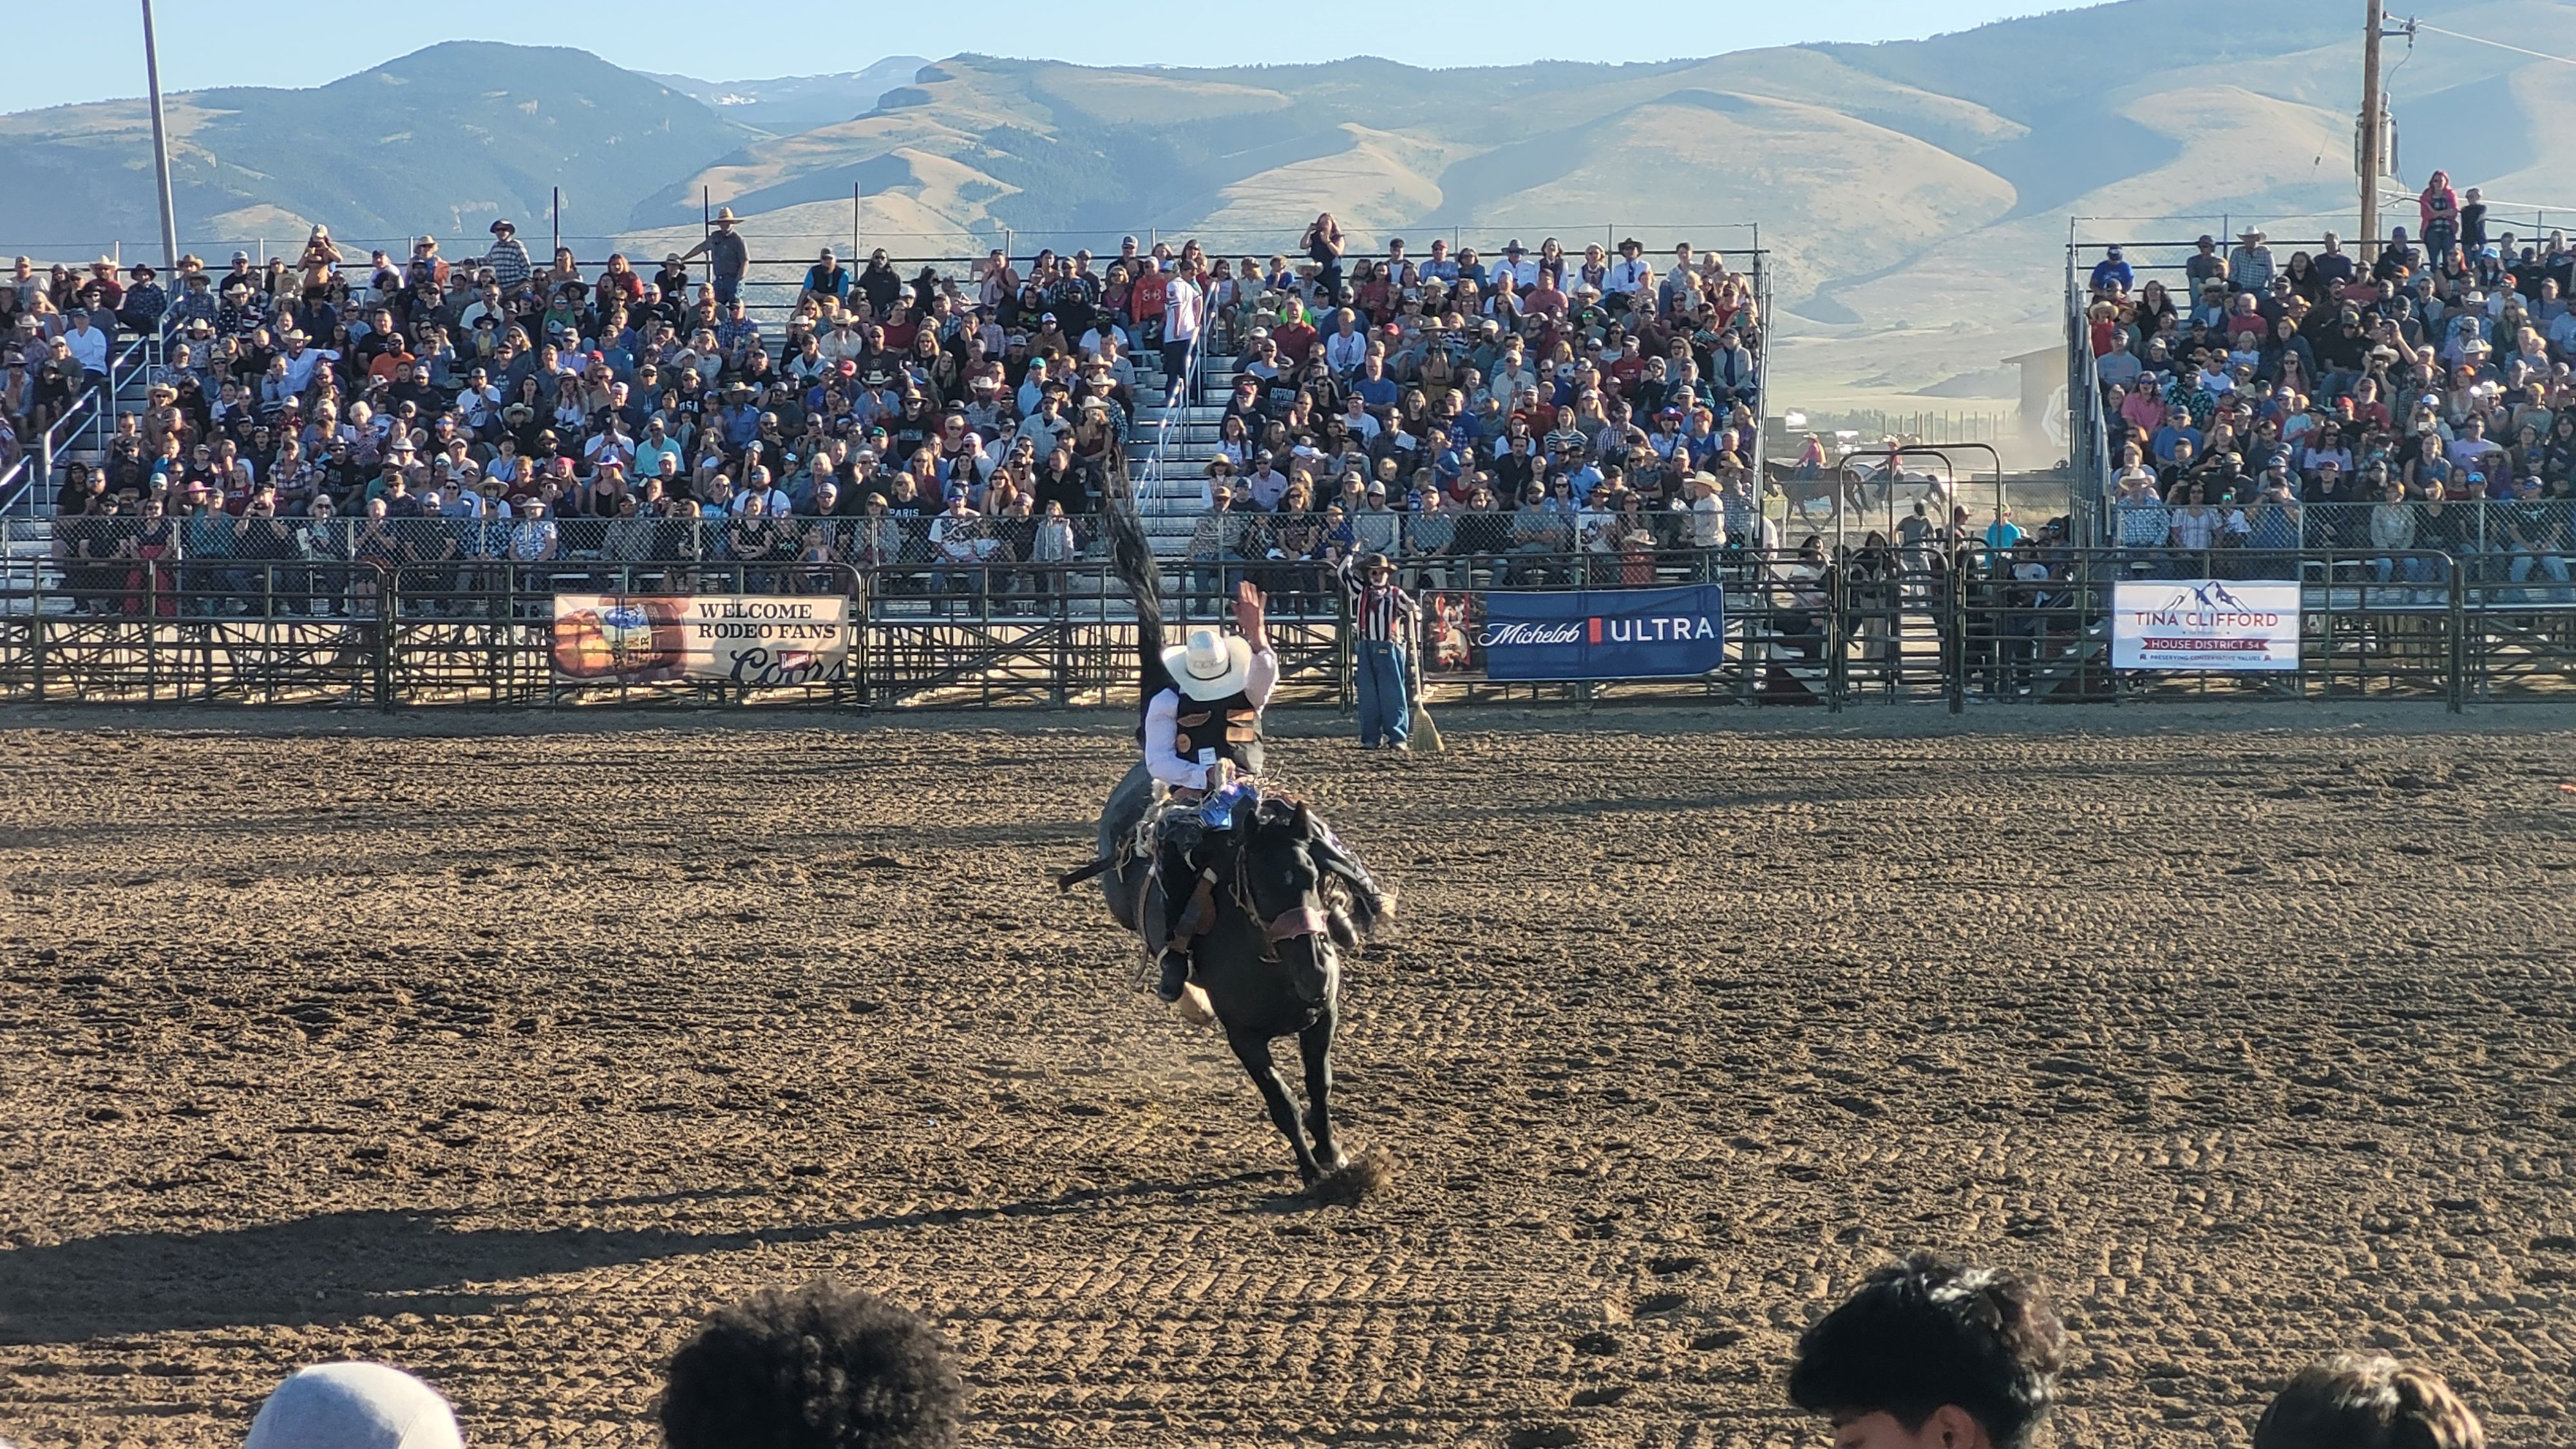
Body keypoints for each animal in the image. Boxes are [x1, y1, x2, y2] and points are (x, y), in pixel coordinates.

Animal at [1056, 502, 1391, 1180]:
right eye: (1256, 886)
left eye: (1315, 879)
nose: (1314, 969)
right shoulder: (1245, 1035)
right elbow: (1282, 1099)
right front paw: (1312, 1172)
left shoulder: (1323, 1017)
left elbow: (1319, 1087)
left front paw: (1334, 1152)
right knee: (1160, 951)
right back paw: (1182, 992)